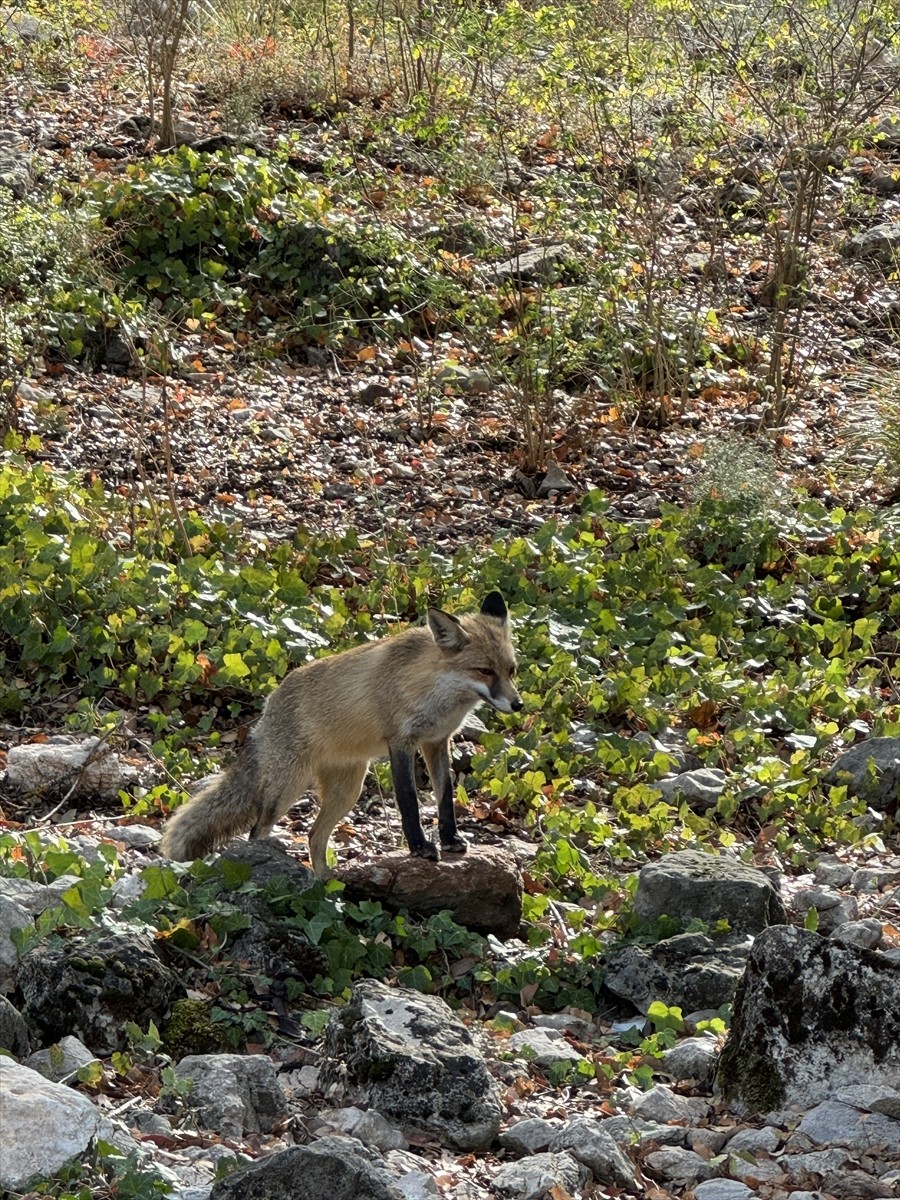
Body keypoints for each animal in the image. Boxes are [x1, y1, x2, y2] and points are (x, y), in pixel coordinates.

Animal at [157, 588, 520, 873]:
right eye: (485, 671)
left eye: (511, 670)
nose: (517, 705)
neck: (433, 689)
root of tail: (268, 707)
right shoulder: (401, 742)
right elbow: (409, 800)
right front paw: (420, 848)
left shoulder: (436, 741)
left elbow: (445, 797)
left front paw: (450, 839)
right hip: (287, 789)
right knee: (257, 830)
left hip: (347, 791)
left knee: (314, 837)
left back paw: (325, 885)